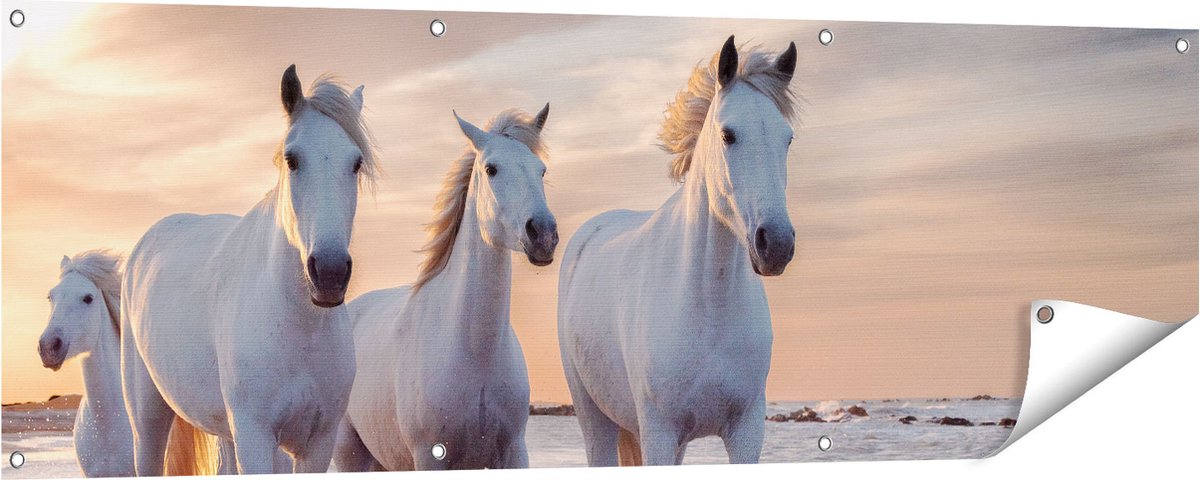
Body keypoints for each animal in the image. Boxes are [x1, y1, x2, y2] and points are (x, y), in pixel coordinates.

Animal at [121, 65, 376, 474]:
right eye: (292, 159)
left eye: (355, 163)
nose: (330, 273)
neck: (299, 325)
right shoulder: (255, 437)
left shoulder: (317, 443)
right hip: (148, 421)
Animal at [334, 105, 556, 471]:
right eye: (491, 169)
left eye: (541, 170)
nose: (543, 234)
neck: (475, 352)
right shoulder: (430, 455)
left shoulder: (514, 452)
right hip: (348, 450)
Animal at [557, 36, 799, 466]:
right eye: (728, 135)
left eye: (787, 139)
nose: (776, 244)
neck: (708, 306)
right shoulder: (660, 434)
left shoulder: (746, 432)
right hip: (595, 420)